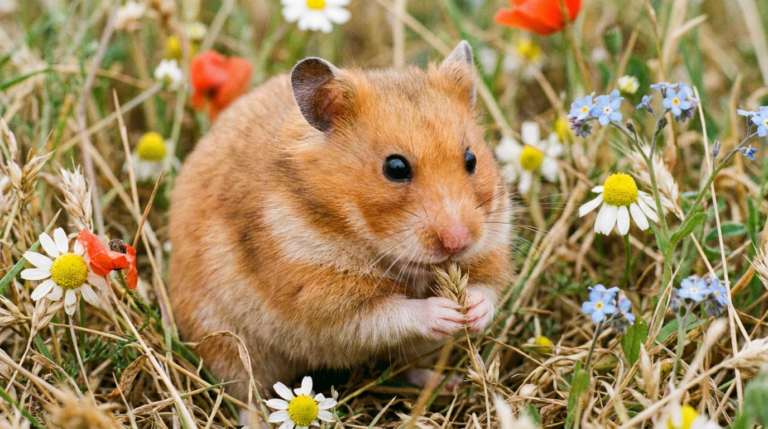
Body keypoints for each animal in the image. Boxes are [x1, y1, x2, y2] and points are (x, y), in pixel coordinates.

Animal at [168, 41, 513, 403]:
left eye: (471, 159)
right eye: (395, 167)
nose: (458, 242)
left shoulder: (493, 244)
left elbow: (488, 289)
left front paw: (470, 311)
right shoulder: (323, 300)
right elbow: (393, 314)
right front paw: (448, 312)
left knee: (409, 367)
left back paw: (446, 383)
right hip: (227, 342)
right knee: (245, 391)